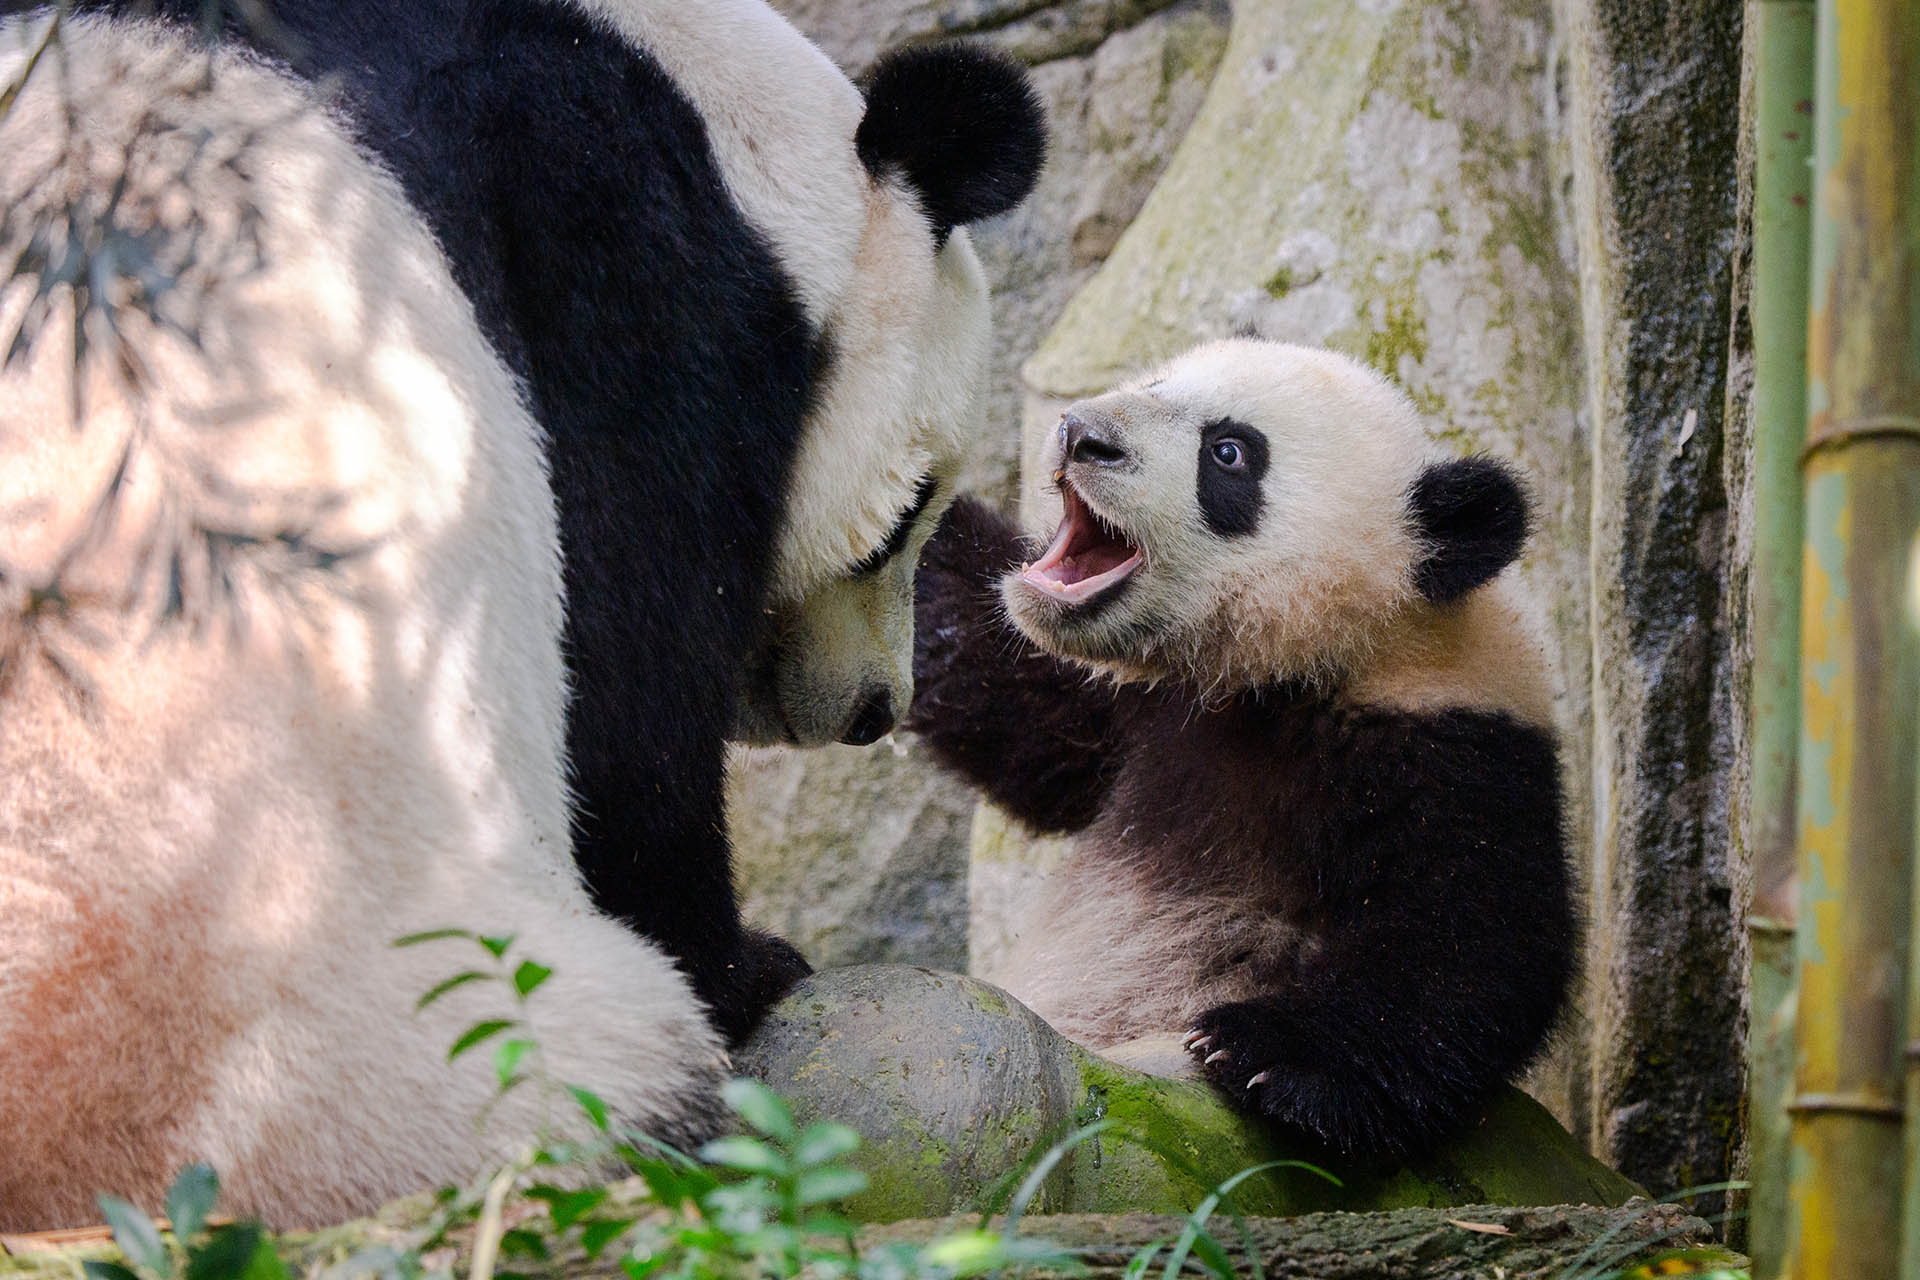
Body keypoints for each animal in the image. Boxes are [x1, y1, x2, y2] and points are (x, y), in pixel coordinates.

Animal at [906, 339, 1582, 1159]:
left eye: (1229, 453)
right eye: (1156, 380)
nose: (1080, 434)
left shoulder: (1454, 750)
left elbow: (1471, 946)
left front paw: (1271, 1054)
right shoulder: (1137, 713)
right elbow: (1005, 691)